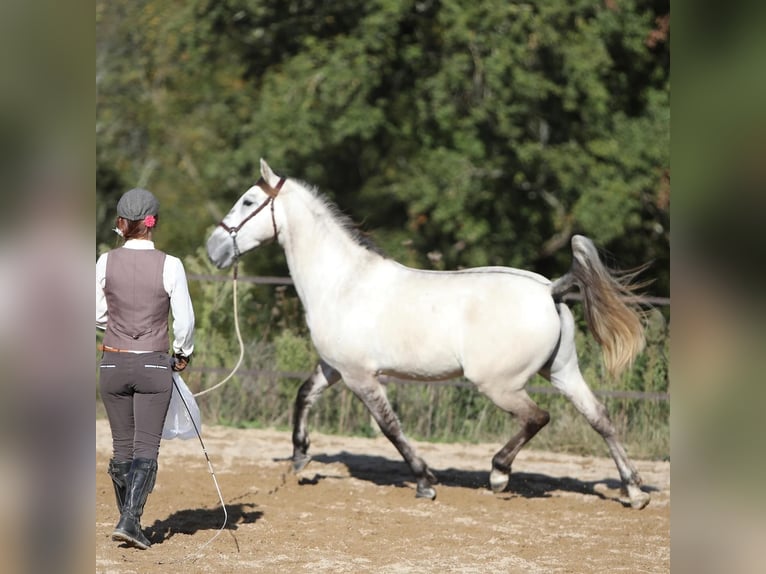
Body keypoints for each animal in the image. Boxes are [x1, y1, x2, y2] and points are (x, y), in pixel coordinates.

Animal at [208, 160, 656, 510]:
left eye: (248, 201)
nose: (213, 249)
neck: (342, 282)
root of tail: (550, 289)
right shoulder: (334, 367)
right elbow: (303, 396)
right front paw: (301, 462)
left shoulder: (359, 376)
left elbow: (390, 427)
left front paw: (425, 481)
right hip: (562, 372)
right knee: (600, 419)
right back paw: (633, 491)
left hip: (498, 384)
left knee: (537, 417)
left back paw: (499, 474)